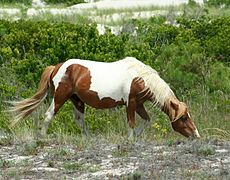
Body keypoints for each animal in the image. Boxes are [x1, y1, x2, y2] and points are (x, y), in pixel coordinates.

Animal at [8, 57, 199, 139]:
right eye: (183, 118)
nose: (196, 135)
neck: (140, 77)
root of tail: (57, 67)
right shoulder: (130, 103)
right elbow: (131, 123)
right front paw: (130, 139)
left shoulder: (139, 104)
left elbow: (146, 121)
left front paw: (136, 137)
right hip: (60, 97)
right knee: (48, 115)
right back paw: (42, 138)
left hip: (77, 100)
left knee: (80, 121)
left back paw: (88, 139)